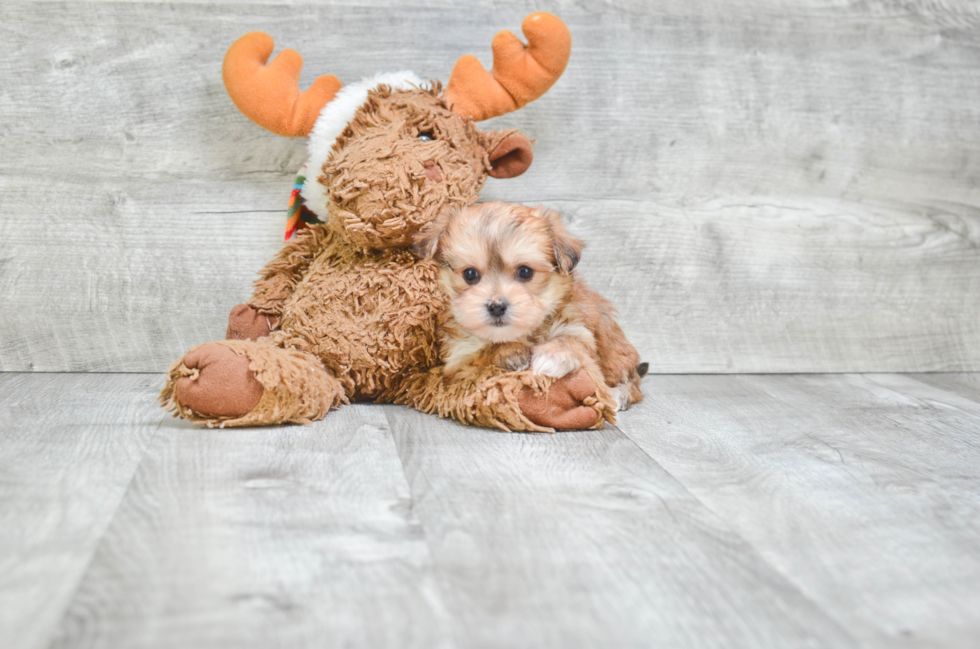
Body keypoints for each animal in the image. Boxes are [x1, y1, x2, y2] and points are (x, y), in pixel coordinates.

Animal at [412, 201, 648, 410]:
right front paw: (509, 352)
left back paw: (618, 395)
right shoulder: (458, 361)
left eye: (525, 272)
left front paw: (552, 355)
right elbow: (481, 355)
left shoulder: (579, 331)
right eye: (470, 274)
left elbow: (571, 342)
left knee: (632, 384)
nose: (496, 306)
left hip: (619, 357)